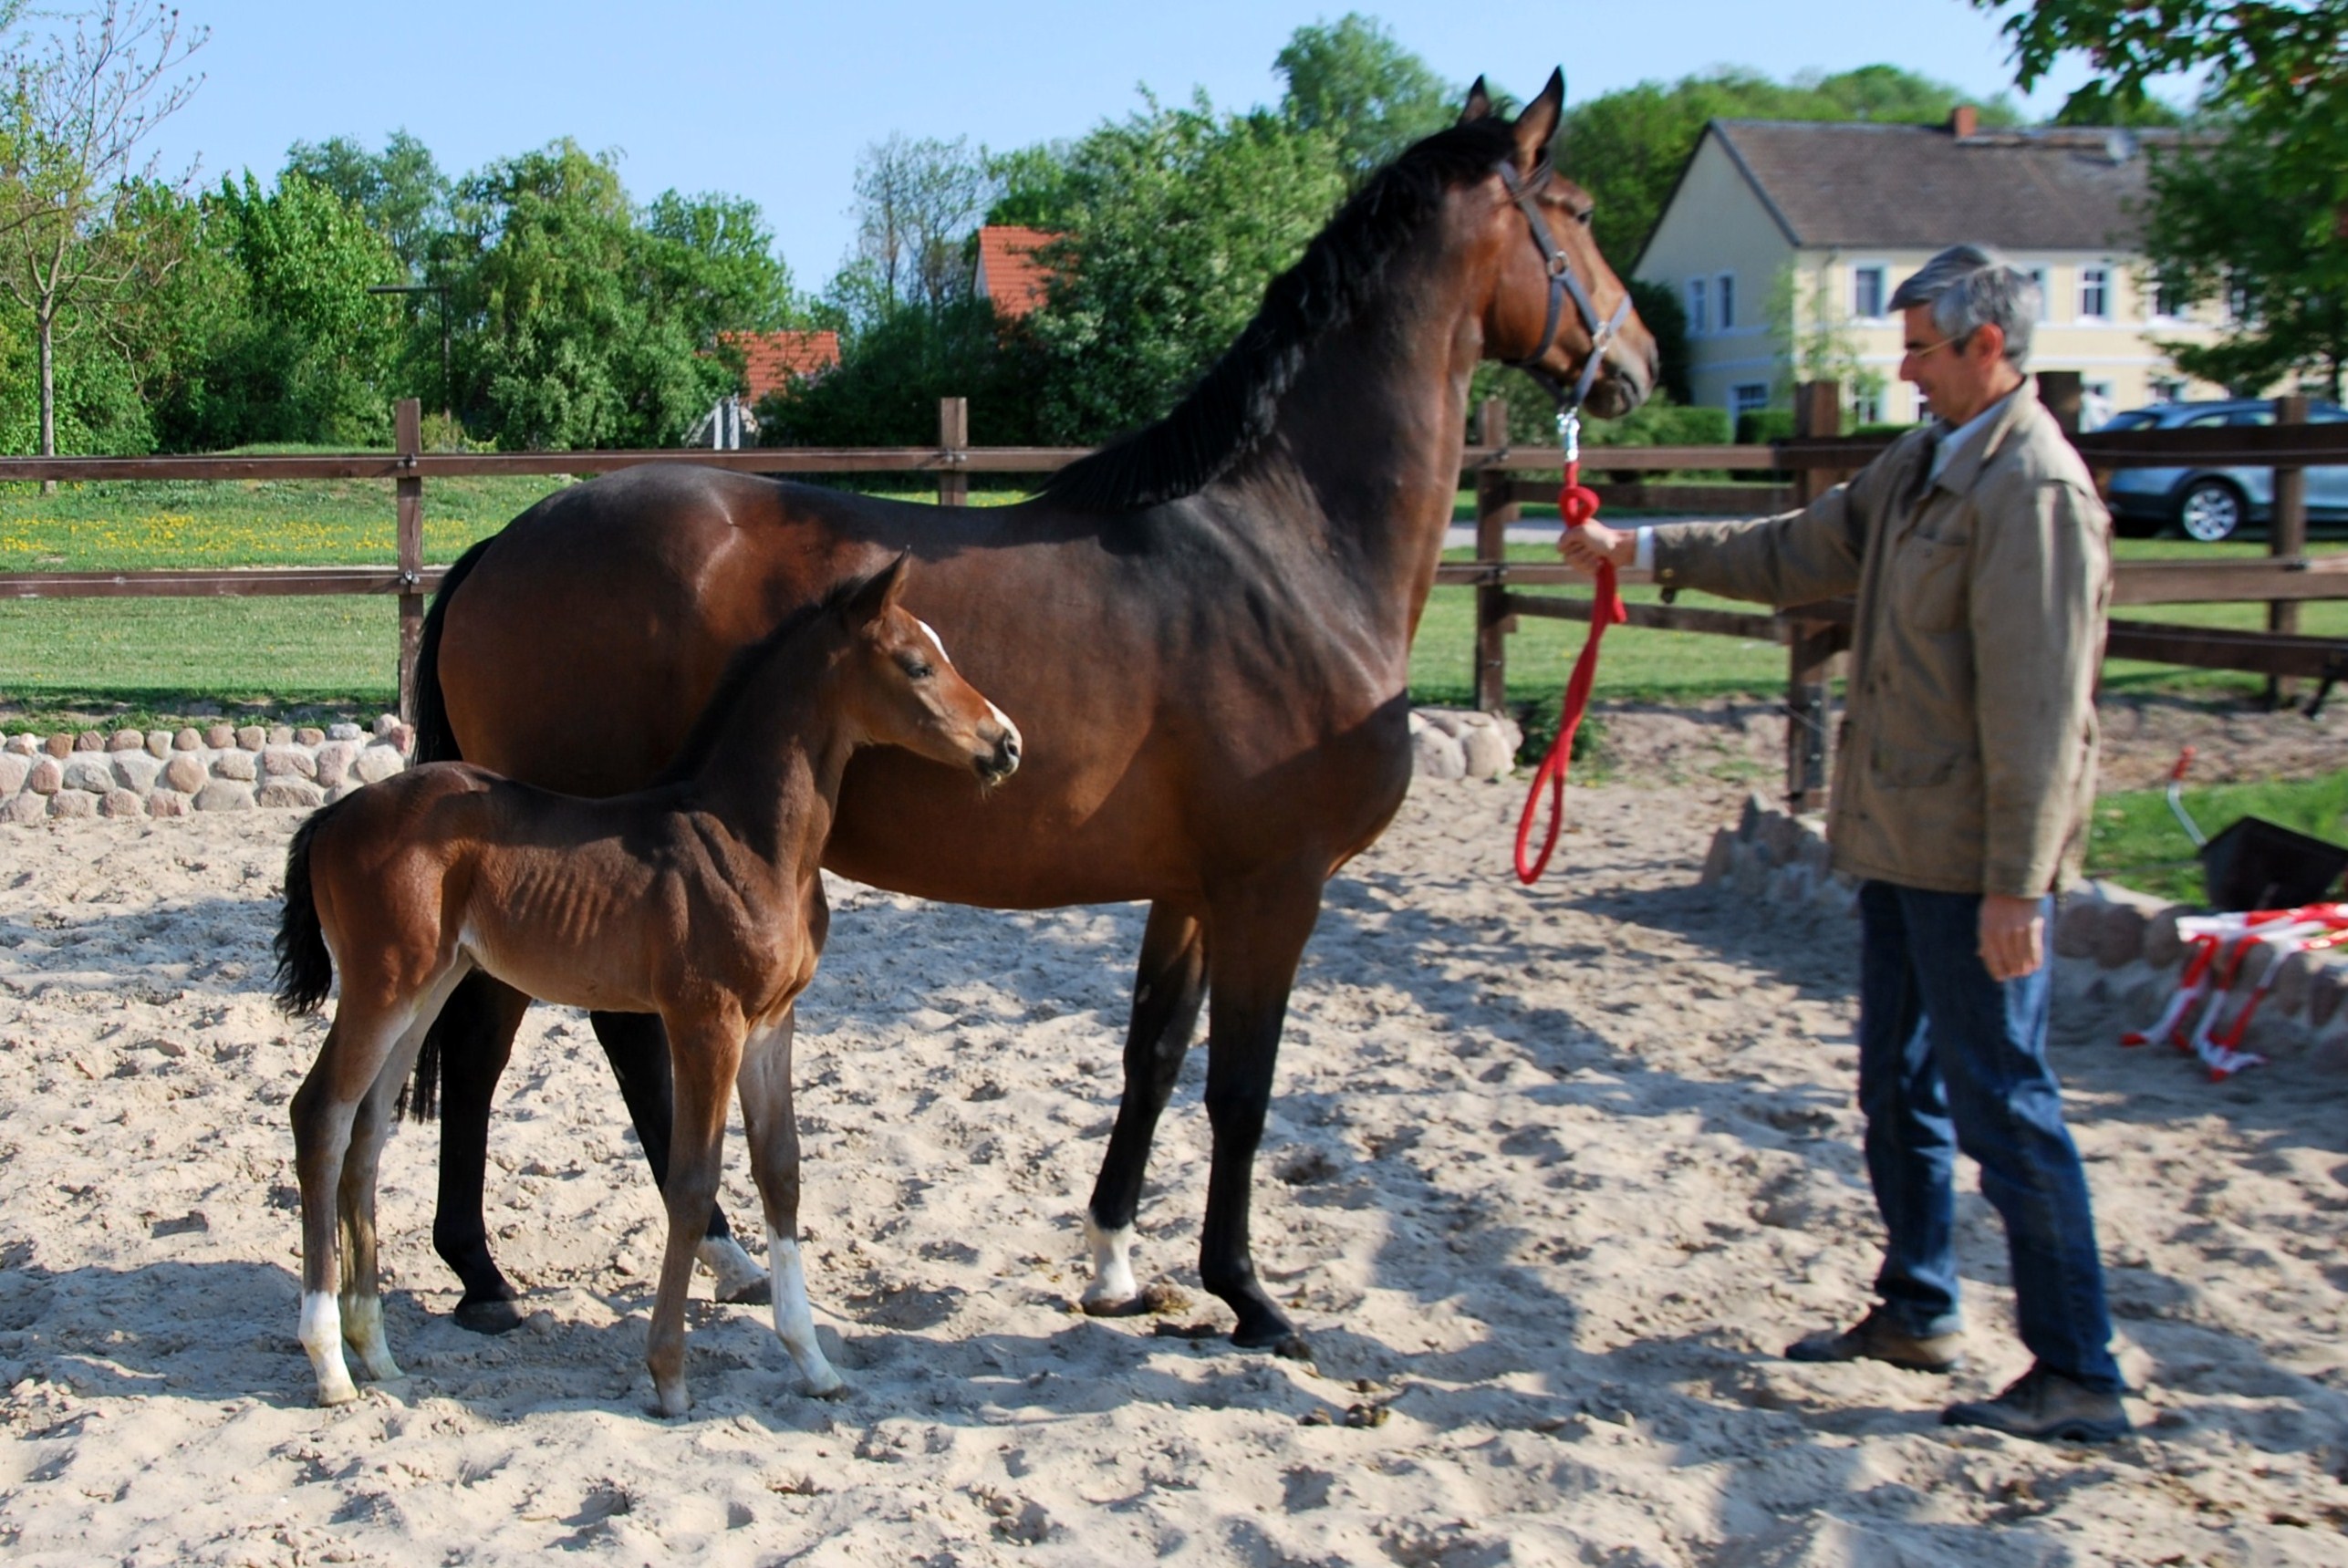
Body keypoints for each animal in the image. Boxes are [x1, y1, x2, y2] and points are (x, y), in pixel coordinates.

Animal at [272, 556, 1019, 1417]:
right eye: (918, 663)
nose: (1007, 742)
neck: (748, 838)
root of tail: (333, 815)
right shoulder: (705, 1020)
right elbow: (693, 1183)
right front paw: (667, 1373)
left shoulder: (774, 1023)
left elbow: (783, 1172)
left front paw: (814, 1362)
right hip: (381, 985)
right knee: (322, 1115)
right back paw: (329, 1361)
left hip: (428, 987)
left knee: (366, 1130)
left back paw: (377, 1351)